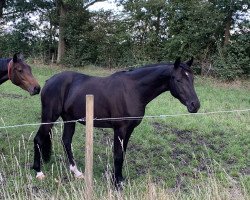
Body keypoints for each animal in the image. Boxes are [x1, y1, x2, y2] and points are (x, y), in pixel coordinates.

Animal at [33, 56, 201, 186]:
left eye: (192, 79)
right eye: (178, 80)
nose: (195, 105)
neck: (133, 90)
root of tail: (49, 81)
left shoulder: (129, 129)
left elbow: (123, 153)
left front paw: (119, 178)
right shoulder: (119, 129)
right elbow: (118, 154)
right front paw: (117, 182)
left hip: (69, 119)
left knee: (66, 141)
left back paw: (77, 172)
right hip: (49, 118)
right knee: (39, 139)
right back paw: (38, 172)